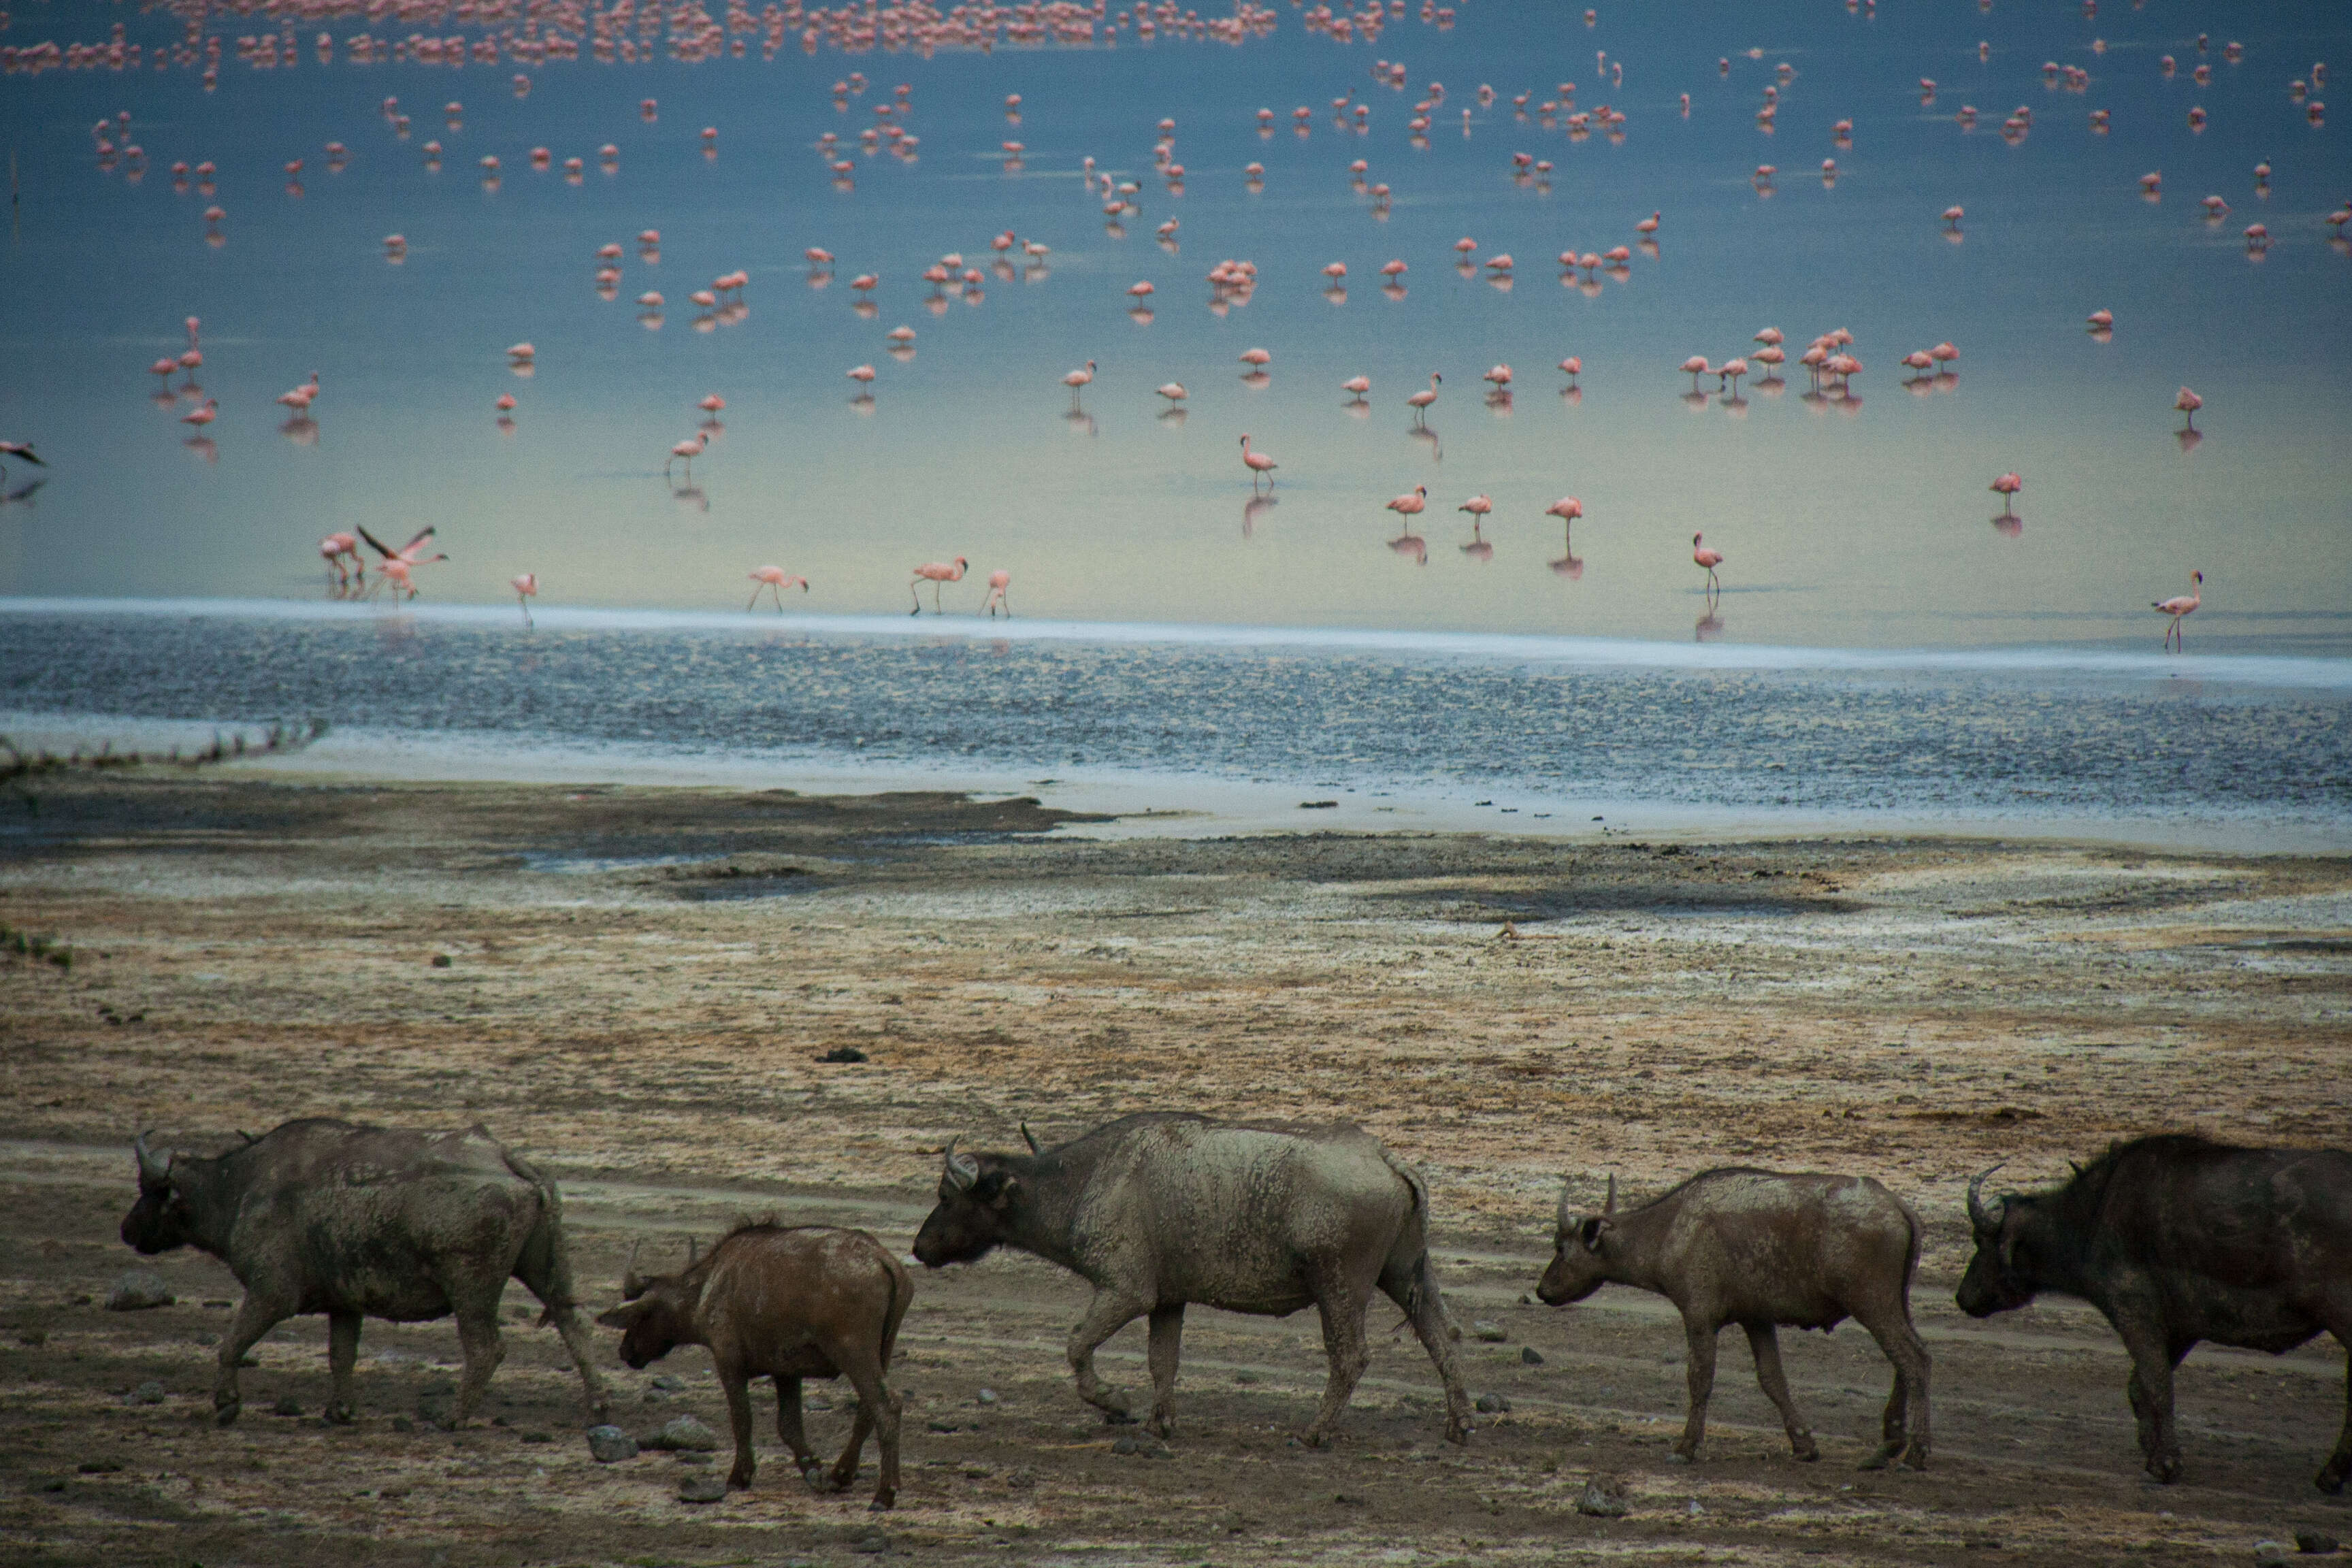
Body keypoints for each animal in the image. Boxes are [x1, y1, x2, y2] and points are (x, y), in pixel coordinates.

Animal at [121, 1114, 606, 1439]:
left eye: (148, 1190)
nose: (126, 1230)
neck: (240, 1187)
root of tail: (505, 1159)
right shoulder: (344, 1305)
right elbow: (341, 1357)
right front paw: (341, 1410)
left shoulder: (271, 1294)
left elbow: (232, 1344)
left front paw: (226, 1402)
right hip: (546, 1271)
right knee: (575, 1324)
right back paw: (597, 1407)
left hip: (471, 1290)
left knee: (487, 1349)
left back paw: (455, 1417)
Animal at [597, 1222, 908, 1504]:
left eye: (640, 1316)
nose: (625, 1351)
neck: (710, 1285)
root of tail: (881, 1258)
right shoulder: (786, 1373)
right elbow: (789, 1425)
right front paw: (814, 1471)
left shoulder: (729, 1365)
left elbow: (742, 1419)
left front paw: (740, 1475)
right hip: (882, 1354)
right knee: (868, 1409)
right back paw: (841, 1474)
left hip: (856, 1355)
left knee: (887, 1405)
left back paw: (885, 1493)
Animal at [903, 1114, 1467, 1448]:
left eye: (947, 1195)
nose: (919, 1247)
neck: (1091, 1181)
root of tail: (1386, 1158)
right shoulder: (1167, 1303)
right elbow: (1163, 1363)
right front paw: (1160, 1422)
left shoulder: (1125, 1293)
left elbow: (1078, 1346)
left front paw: (1114, 1402)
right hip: (1406, 1275)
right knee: (1442, 1337)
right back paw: (1459, 1422)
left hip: (1340, 1289)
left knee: (1350, 1357)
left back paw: (1314, 1431)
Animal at [1543, 1166, 1928, 1476]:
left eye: (1561, 1247)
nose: (1542, 1289)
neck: (1669, 1230)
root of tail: (1898, 1206)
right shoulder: (1756, 1320)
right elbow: (1773, 1379)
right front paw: (1803, 1444)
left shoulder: (1699, 1316)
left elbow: (1700, 1379)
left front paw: (1686, 1447)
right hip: (1896, 1302)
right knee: (1907, 1358)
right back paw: (1888, 1446)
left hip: (1872, 1303)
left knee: (1914, 1358)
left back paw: (1915, 1453)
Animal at [1947, 1132, 2352, 1494]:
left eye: (1980, 1240)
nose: (1963, 1297)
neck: (2095, 1215)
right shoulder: (2182, 1328)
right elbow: (2139, 1386)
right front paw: (2150, 1450)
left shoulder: (2136, 1313)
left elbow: (2158, 1386)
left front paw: (2167, 1463)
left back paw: (2332, 1475)